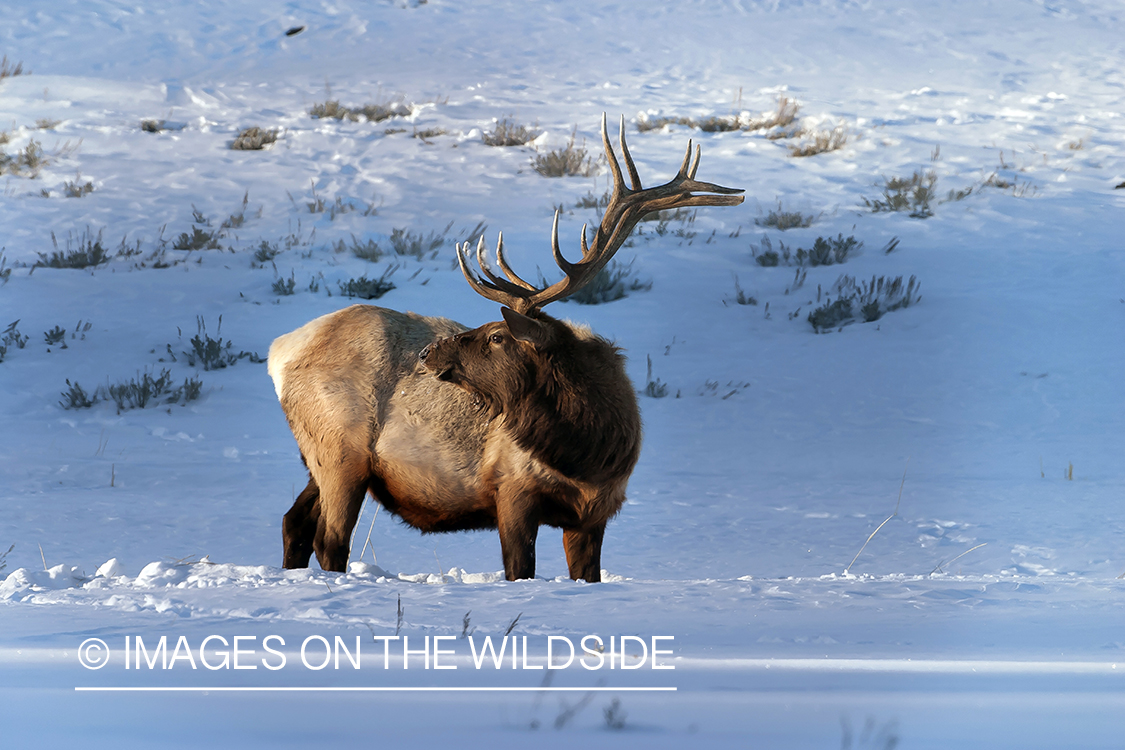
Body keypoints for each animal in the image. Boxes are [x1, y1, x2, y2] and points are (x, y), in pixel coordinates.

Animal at [267, 114, 742, 580]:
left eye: (497, 335)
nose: (427, 354)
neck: (590, 453)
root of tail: (280, 351)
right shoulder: (512, 490)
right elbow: (519, 569)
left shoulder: (594, 513)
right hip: (340, 453)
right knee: (330, 541)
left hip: (320, 458)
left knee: (295, 522)